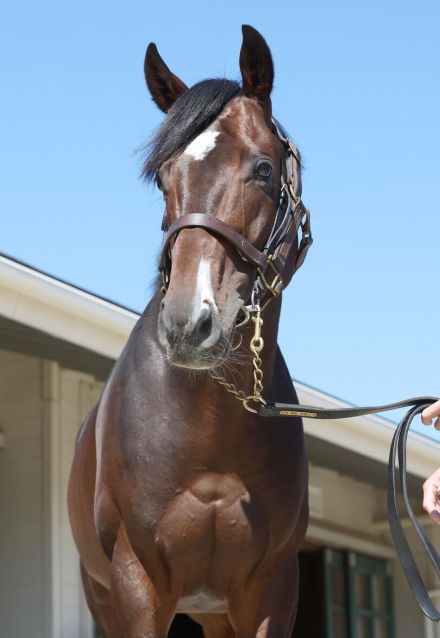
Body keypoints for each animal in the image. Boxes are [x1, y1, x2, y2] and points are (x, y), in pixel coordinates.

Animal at [68, 25, 310, 638]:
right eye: (163, 178)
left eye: (264, 169)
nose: (188, 324)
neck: (210, 427)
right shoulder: (137, 587)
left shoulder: (271, 590)